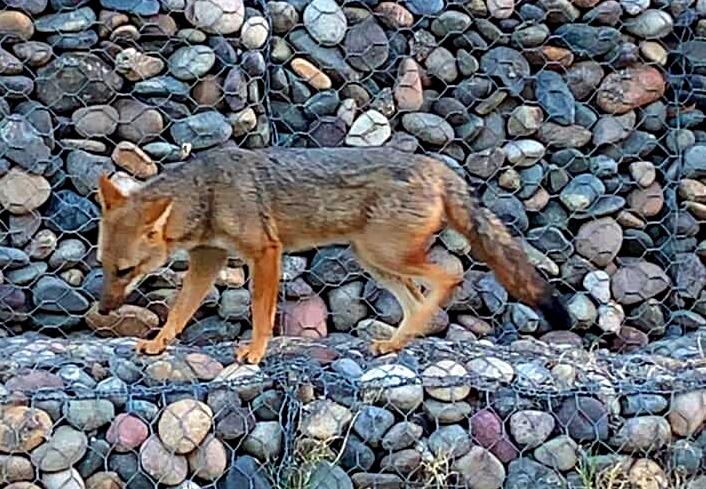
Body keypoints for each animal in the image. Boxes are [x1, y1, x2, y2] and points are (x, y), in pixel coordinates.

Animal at [96, 145, 570, 365]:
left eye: (126, 270)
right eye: (103, 267)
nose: (103, 309)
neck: (209, 193)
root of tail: (436, 166)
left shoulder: (265, 253)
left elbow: (261, 312)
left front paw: (256, 352)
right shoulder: (208, 260)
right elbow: (179, 311)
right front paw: (159, 342)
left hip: (387, 256)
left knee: (449, 278)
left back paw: (408, 333)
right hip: (374, 262)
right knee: (416, 299)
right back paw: (395, 342)